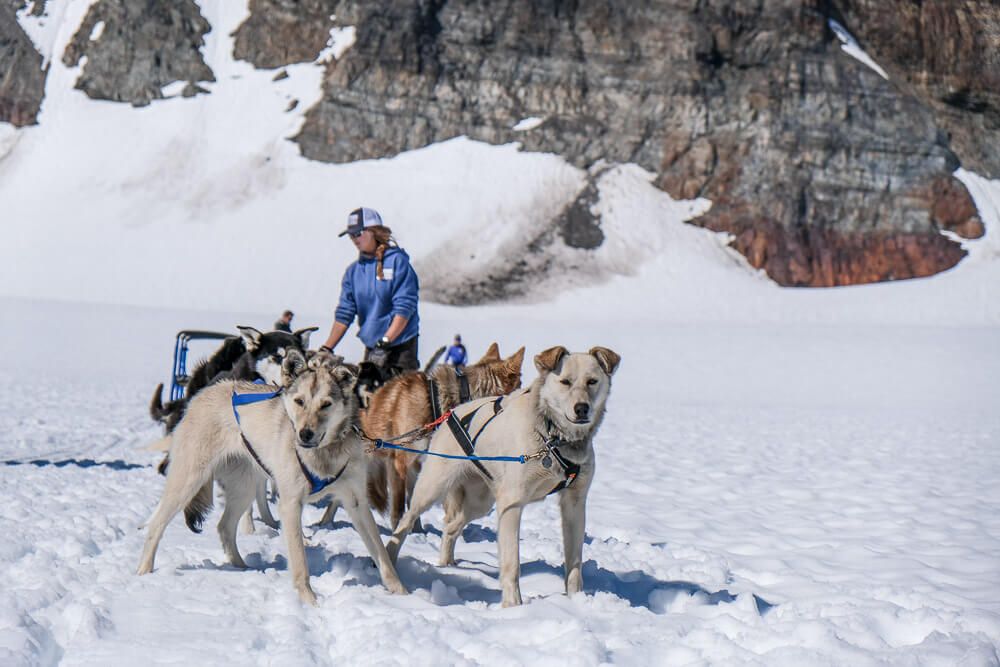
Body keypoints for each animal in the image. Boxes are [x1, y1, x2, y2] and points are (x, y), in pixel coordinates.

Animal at [137, 352, 406, 608]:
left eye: (326, 404)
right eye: (299, 402)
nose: (305, 434)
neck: (323, 454)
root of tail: (203, 393)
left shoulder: (356, 502)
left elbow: (381, 553)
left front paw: (402, 592)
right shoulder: (290, 504)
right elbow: (300, 562)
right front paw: (309, 602)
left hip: (243, 490)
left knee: (224, 526)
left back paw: (242, 568)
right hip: (188, 482)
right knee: (156, 525)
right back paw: (144, 572)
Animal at [320, 344, 528, 528]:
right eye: (524, 388)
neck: (437, 403)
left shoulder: (419, 464)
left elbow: (415, 503)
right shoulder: (399, 463)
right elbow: (398, 509)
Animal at [386, 348, 620, 608]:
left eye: (592, 381)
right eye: (565, 381)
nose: (582, 408)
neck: (553, 438)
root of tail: (453, 413)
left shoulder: (574, 504)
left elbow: (574, 562)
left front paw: (575, 600)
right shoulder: (511, 505)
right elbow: (511, 563)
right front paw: (513, 606)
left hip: (481, 503)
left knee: (450, 527)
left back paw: (446, 563)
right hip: (433, 489)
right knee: (406, 521)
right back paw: (390, 560)